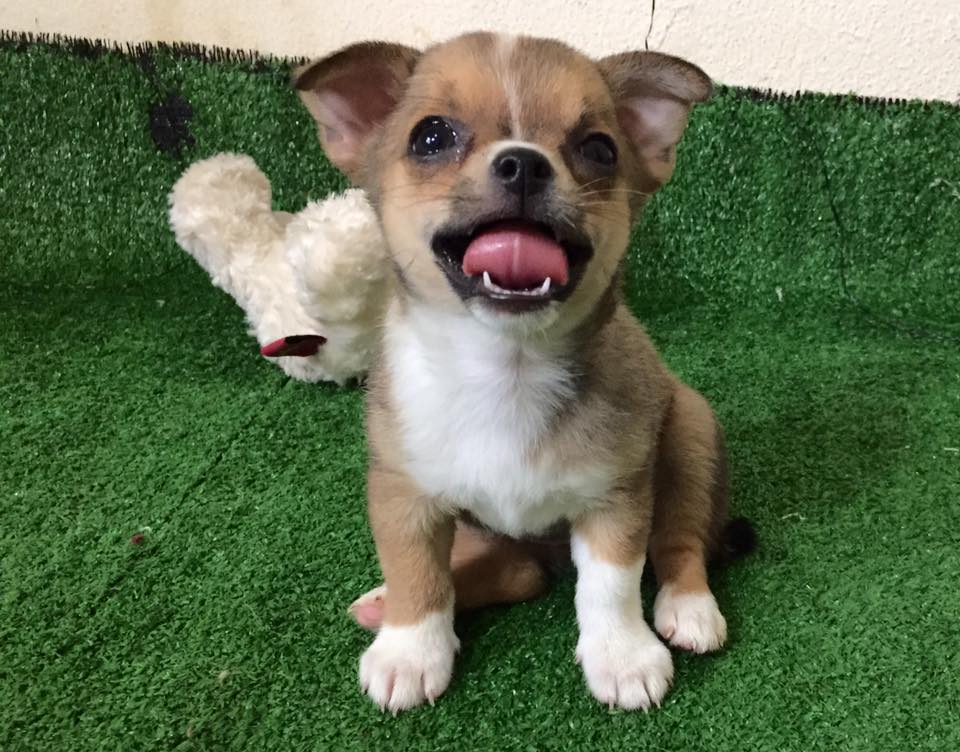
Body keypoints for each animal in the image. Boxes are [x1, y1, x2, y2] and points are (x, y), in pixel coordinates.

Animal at [294, 32, 753, 713]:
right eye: (431, 136)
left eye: (599, 148)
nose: (524, 164)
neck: (506, 370)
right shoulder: (404, 494)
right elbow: (416, 571)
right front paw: (410, 650)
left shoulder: (615, 499)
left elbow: (611, 584)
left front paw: (622, 655)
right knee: (513, 572)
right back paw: (386, 607)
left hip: (690, 435)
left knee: (680, 541)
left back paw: (689, 608)